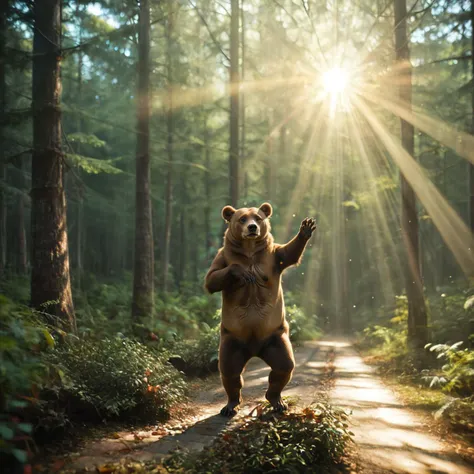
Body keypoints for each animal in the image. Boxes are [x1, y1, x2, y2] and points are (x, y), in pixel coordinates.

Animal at [204, 202, 314, 416]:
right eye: (242, 219)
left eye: (258, 217)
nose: (252, 227)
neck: (250, 250)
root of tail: (254, 349)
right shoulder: (223, 256)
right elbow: (212, 278)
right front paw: (243, 274)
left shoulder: (271, 257)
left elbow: (289, 254)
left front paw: (306, 227)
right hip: (232, 338)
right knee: (230, 370)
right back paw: (230, 404)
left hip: (274, 337)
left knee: (283, 365)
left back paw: (277, 400)